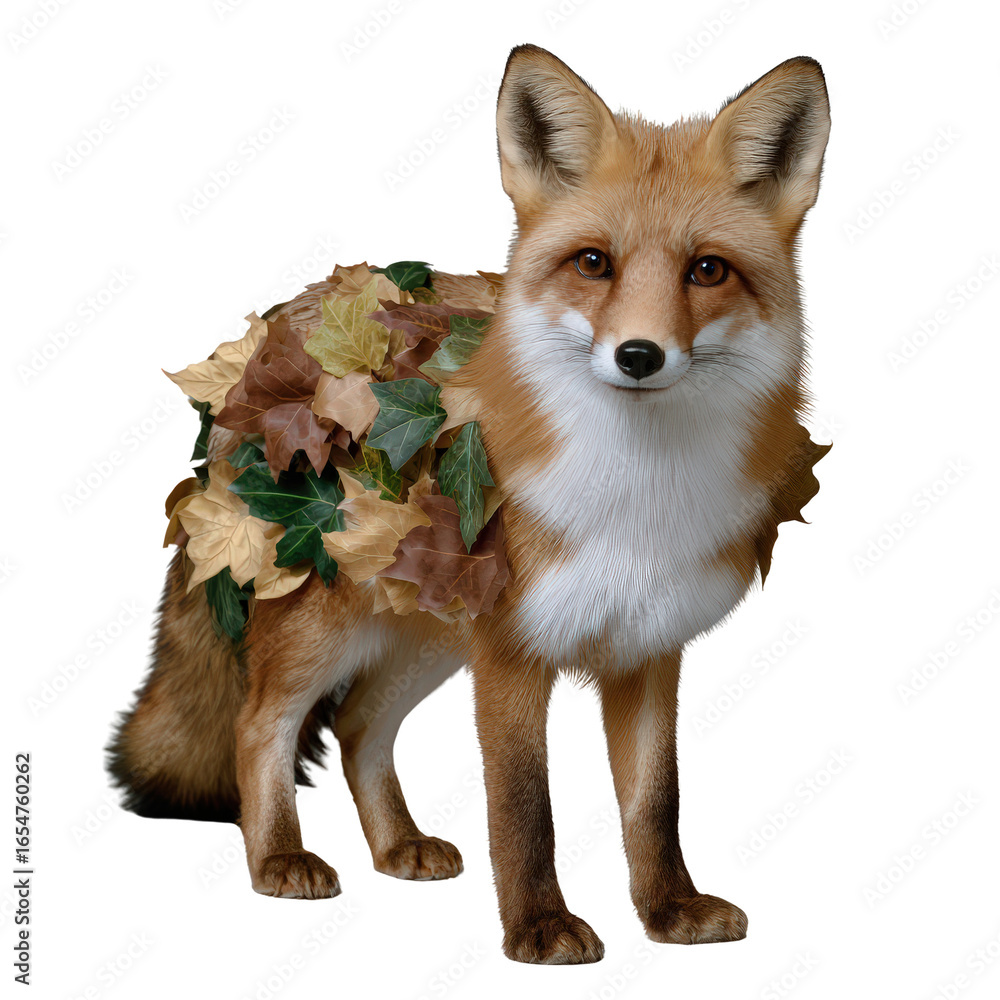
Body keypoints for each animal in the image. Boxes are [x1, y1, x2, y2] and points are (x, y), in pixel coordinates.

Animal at [108, 44, 831, 965]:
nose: (638, 355)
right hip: (325, 629)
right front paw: (540, 928)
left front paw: (669, 911)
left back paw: (397, 846)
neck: (636, 502)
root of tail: (266, 343)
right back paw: (278, 857)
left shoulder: (645, 650)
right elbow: (523, 809)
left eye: (707, 270)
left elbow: (654, 802)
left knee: (359, 728)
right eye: (593, 263)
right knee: (258, 726)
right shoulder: (509, 655)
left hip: (423, 636)